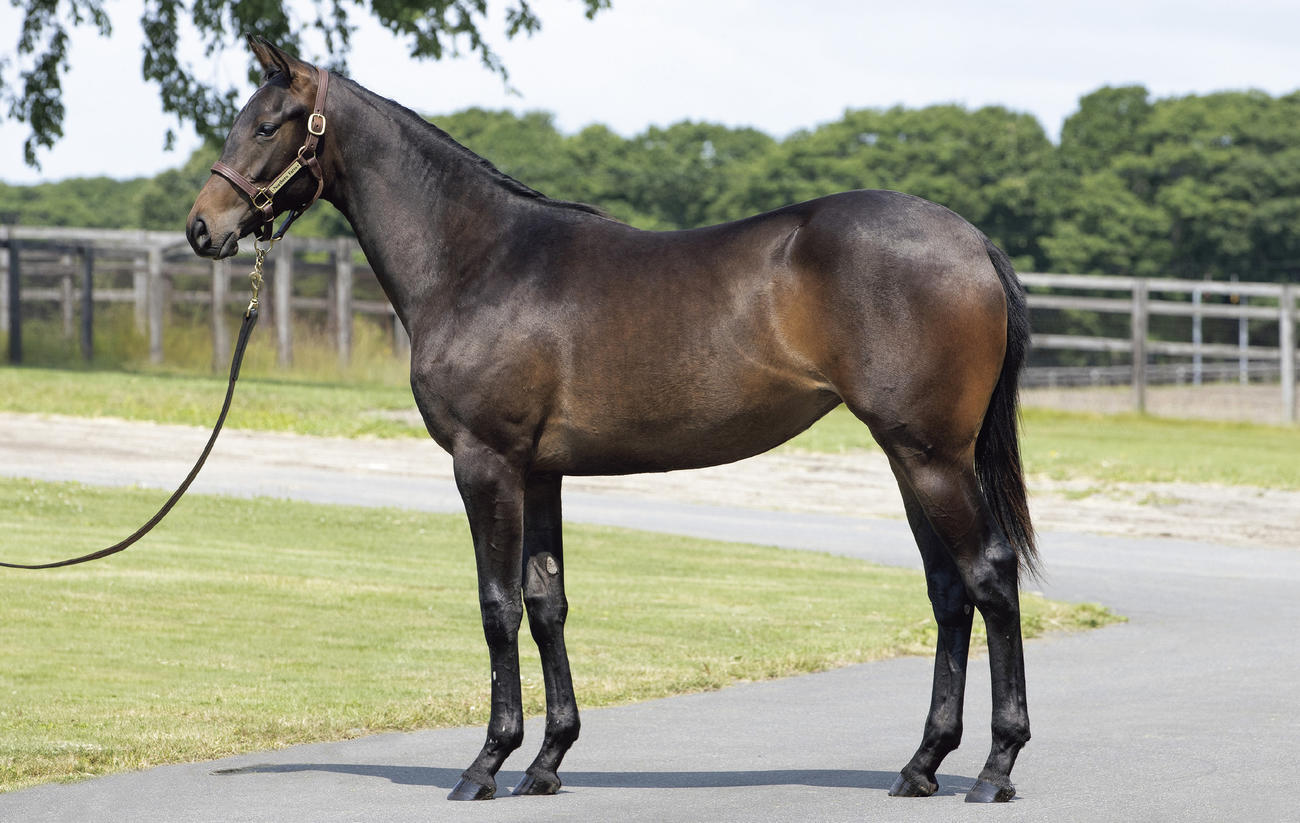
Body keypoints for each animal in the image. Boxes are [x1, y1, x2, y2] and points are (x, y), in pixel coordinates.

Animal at [187, 37, 1038, 805]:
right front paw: (546, 761)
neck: (479, 261)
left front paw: (486, 763)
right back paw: (921, 764)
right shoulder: (540, 472)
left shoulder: (486, 462)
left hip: (932, 455)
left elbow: (496, 605)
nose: (203, 228)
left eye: (267, 127)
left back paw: (996, 767)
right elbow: (546, 603)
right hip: (908, 456)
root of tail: (973, 241)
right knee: (949, 590)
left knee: (989, 576)